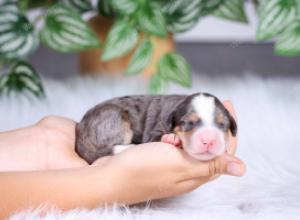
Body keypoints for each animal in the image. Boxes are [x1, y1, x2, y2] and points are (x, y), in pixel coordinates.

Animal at [75, 92, 237, 163]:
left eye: (222, 124)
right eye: (188, 123)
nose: (209, 141)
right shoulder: (154, 130)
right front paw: (172, 138)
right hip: (116, 119)